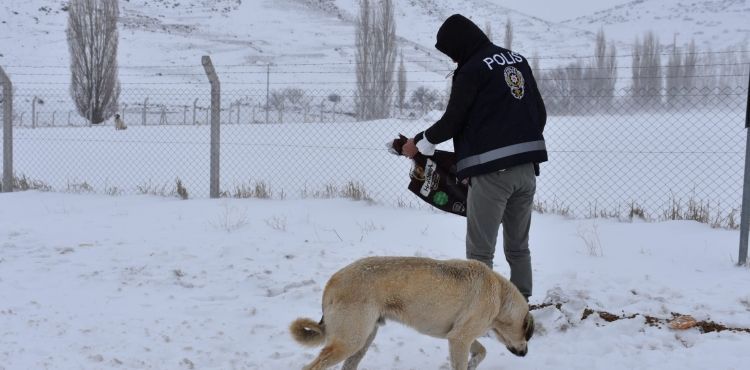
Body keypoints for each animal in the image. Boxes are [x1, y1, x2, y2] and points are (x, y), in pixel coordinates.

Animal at [290, 258, 536, 370]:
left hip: (362, 340)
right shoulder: (459, 339)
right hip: (350, 341)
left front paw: (473, 363)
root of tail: (332, 282)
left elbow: (482, 352)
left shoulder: (459, 336)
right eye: (527, 335)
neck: (500, 297)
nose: (525, 353)